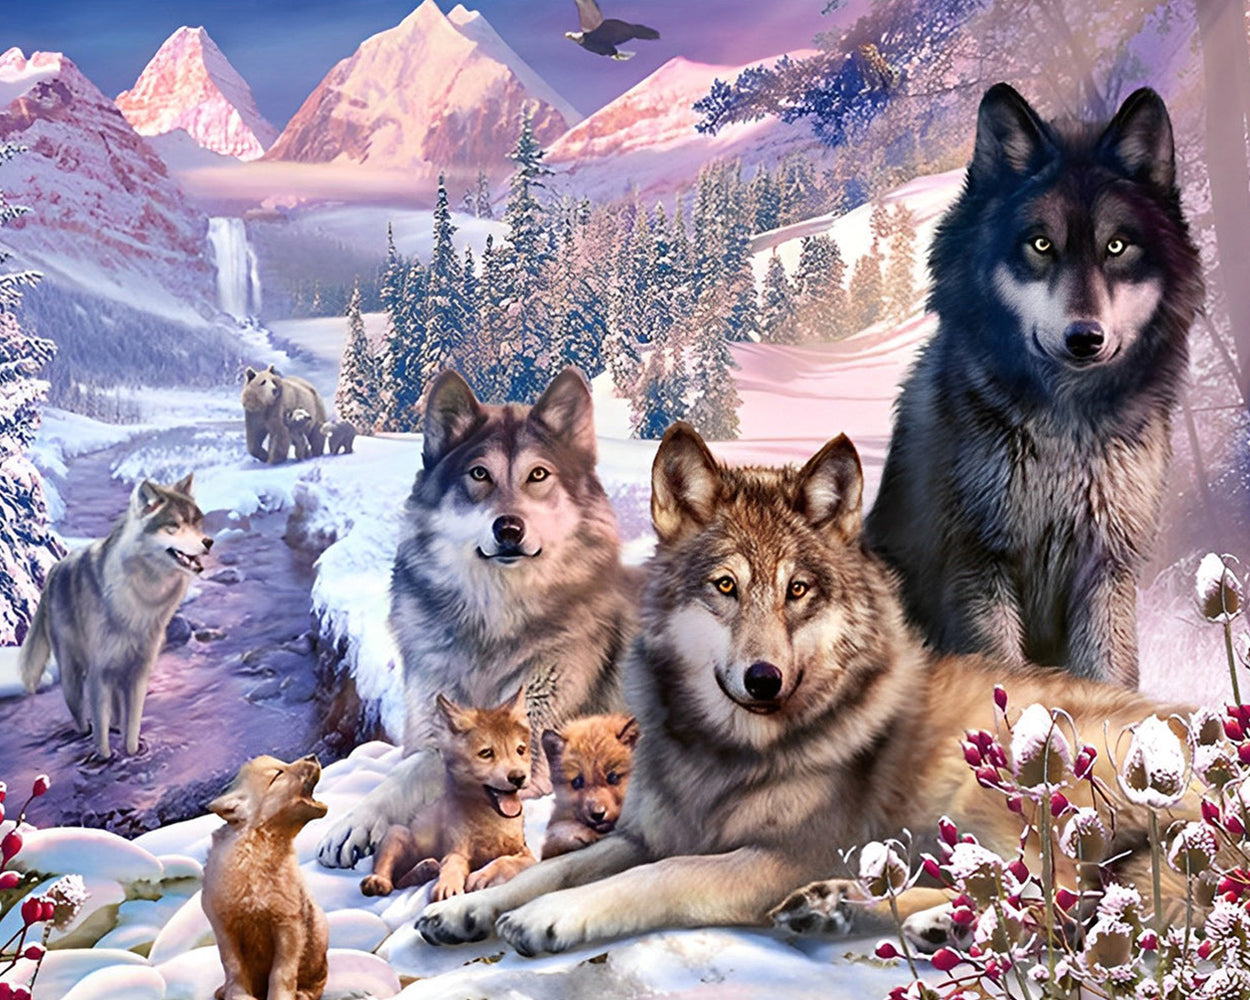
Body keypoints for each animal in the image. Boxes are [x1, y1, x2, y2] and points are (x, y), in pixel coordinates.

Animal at [20, 474, 213, 759]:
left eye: (196, 523)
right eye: (174, 526)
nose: (209, 542)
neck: (140, 597)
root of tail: (55, 567)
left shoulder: (138, 674)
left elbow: (131, 728)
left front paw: (133, 753)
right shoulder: (99, 674)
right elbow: (100, 738)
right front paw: (105, 758)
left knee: (115, 716)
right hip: (72, 677)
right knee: (82, 720)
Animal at [316, 367, 639, 868]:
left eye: (538, 475)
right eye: (479, 474)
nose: (508, 528)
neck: (493, 622)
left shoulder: (536, 755)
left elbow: (425, 769)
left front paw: (355, 822)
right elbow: (417, 762)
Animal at [360, 690, 535, 901]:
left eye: (520, 750)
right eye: (486, 753)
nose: (518, 777)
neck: (492, 823)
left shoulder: (528, 854)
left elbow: (505, 860)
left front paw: (481, 876)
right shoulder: (456, 850)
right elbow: (452, 864)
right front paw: (448, 885)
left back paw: (425, 869)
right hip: (397, 833)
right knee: (393, 879)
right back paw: (380, 881)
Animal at [414, 424, 1193, 956]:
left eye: (797, 590)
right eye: (725, 586)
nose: (764, 679)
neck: (722, 755)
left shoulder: (778, 856)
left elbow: (652, 879)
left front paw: (547, 918)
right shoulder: (644, 834)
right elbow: (560, 867)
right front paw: (469, 908)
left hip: (996, 773)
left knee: (1053, 894)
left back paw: (907, 915)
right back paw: (852, 909)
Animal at [866, 83, 1203, 688]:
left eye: (1117, 247)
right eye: (1041, 245)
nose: (1085, 337)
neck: (1066, 432)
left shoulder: (1105, 566)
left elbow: (1109, 678)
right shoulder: (979, 563)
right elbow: (1002, 675)